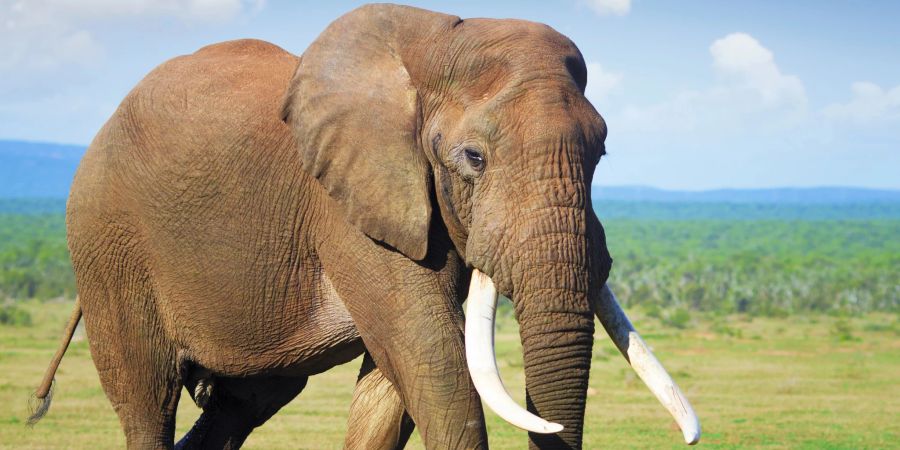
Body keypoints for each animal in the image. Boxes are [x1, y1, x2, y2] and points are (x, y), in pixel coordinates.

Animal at [28, 4, 700, 450]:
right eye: (473, 159)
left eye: (602, 154)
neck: (434, 39)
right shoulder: (348, 203)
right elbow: (433, 362)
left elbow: (393, 388)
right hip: (106, 241)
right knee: (148, 397)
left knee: (245, 402)